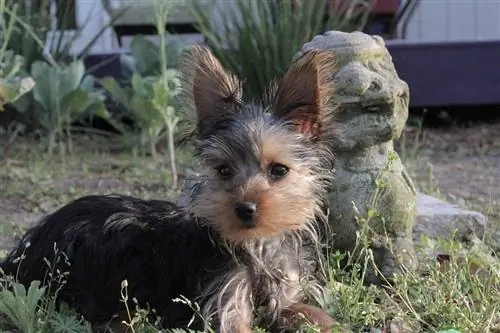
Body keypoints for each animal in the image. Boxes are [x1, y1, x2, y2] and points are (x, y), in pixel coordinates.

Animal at [0, 44, 340, 332]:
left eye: (278, 170)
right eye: (224, 170)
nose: (245, 208)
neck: (256, 246)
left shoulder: (286, 295)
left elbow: (314, 315)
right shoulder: (224, 299)